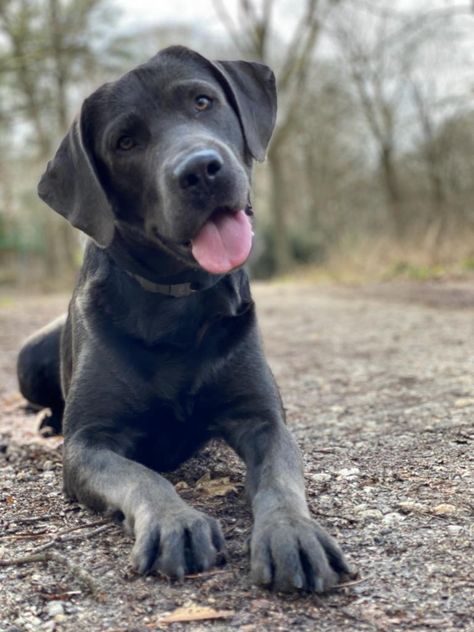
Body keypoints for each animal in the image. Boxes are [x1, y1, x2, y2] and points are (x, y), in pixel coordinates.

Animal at [16, 45, 350, 592]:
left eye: (202, 101)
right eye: (125, 141)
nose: (201, 170)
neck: (174, 303)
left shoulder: (264, 419)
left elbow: (280, 479)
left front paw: (291, 532)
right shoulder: (87, 443)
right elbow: (141, 476)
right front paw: (175, 522)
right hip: (28, 356)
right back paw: (45, 421)